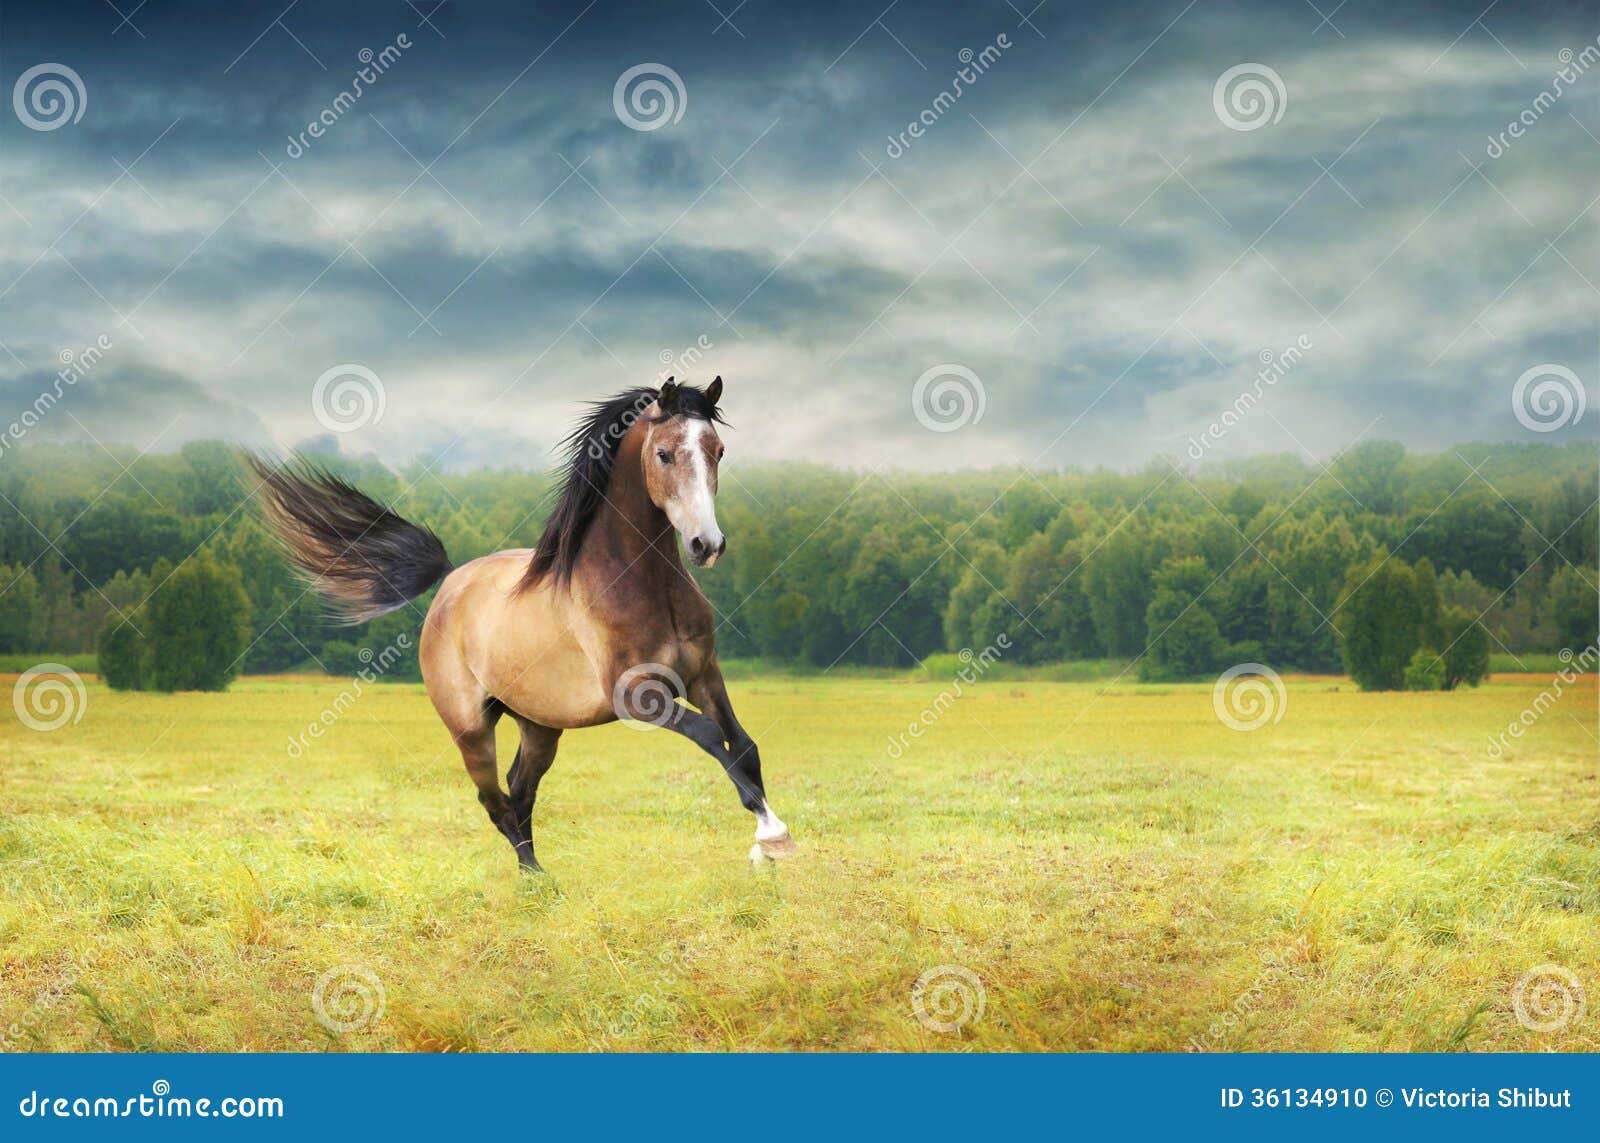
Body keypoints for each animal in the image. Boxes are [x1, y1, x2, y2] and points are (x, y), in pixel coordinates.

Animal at [247, 377, 796, 873]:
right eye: (664, 453)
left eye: (718, 450)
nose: (707, 545)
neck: (645, 587)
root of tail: (450, 583)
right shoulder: (638, 696)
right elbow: (710, 736)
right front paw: (773, 836)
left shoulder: (704, 675)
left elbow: (743, 746)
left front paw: (765, 845)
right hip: (470, 729)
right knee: (495, 801)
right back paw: (536, 881)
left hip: (540, 724)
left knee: (520, 789)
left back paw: (537, 876)